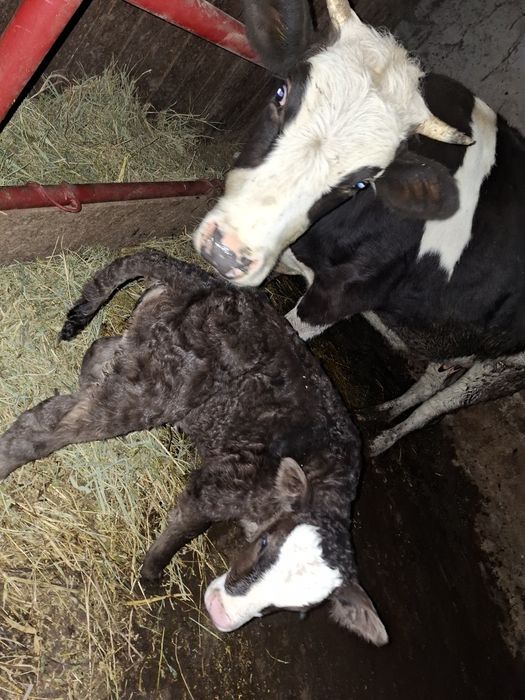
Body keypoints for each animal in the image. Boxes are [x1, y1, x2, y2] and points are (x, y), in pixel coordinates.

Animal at [0, 251, 387, 644]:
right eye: (265, 544)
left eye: (295, 609)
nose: (219, 613)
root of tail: (207, 282)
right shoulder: (220, 486)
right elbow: (185, 528)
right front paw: (151, 573)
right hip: (157, 387)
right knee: (51, 423)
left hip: (143, 351)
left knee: (98, 353)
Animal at [193, 0, 525, 455]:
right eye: (280, 93)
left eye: (363, 182)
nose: (225, 250)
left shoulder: (336, 298)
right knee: (435, 376)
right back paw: (381, 412)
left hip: (507, 367)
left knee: (441, 405)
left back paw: (382, 441)